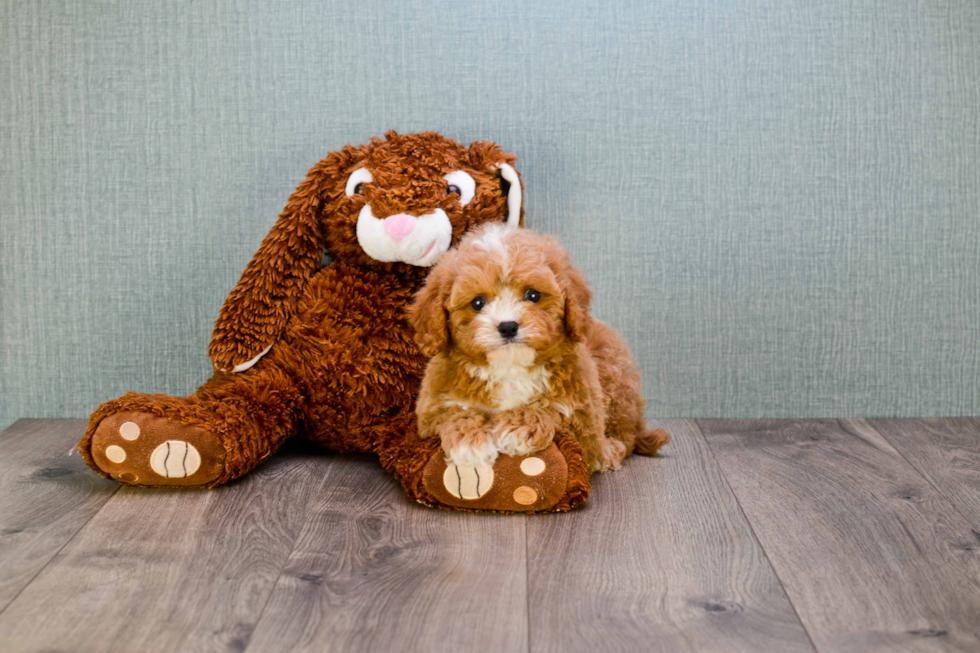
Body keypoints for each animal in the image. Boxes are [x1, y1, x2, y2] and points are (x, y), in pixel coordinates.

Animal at [410, 223, 668, 474]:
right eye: (477, 303)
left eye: (533, 295)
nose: (508, 326)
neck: (510, 367)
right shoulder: (430, 410)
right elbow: (453, 412)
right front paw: (469, 443)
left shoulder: (585, 419)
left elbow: (550, 407)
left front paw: (518, 427)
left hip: (615, 384)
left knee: (625, 437)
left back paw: (611, 451)